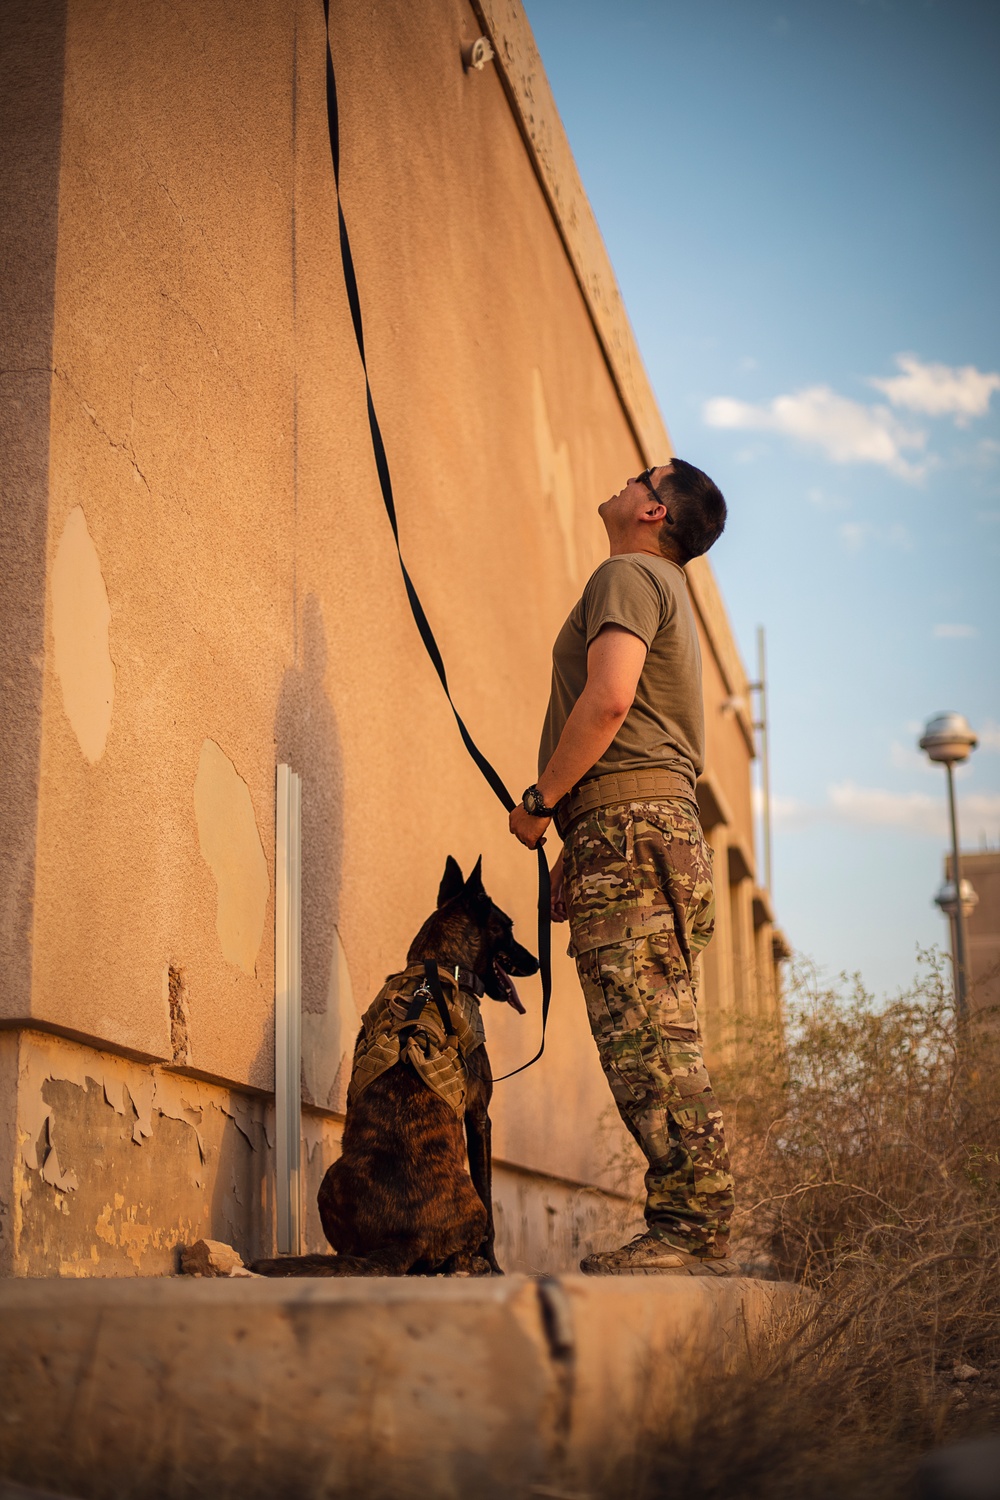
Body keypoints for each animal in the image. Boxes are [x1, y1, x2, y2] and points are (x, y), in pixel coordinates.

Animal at [251, 858, 539, 1278]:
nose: (537, 962)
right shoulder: (479, 1116)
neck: (440, 966)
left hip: (328, 1179)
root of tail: (406, 1237)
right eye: (509, 927)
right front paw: (495, 1265)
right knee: (463, 1246)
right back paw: (472, 1264)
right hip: (469, 1204)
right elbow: (489, 1199)